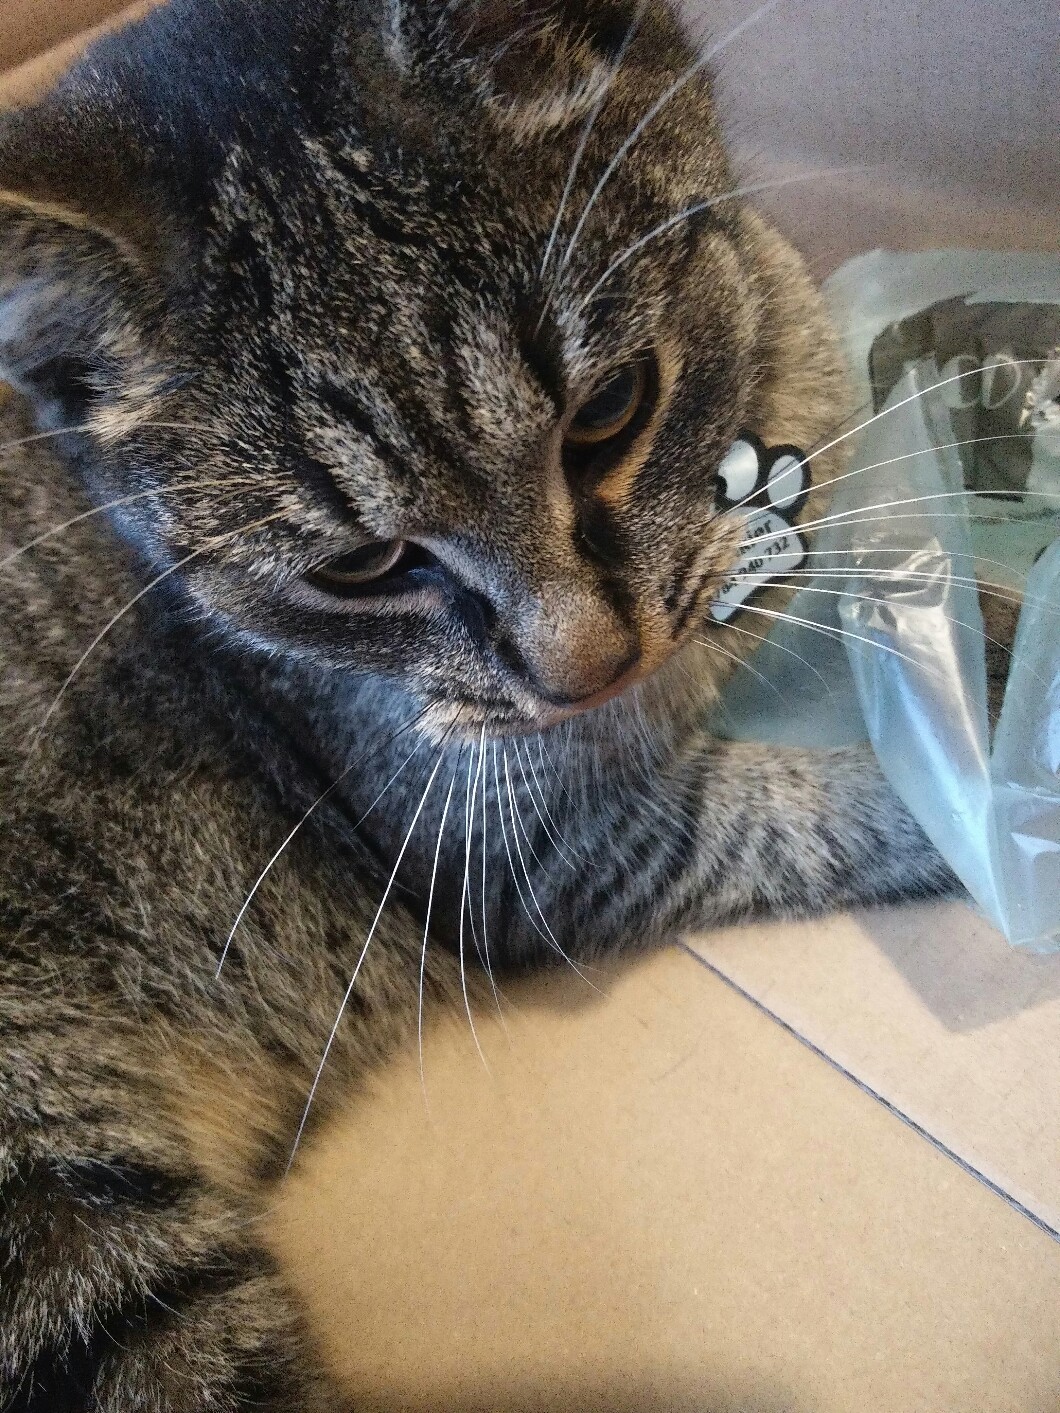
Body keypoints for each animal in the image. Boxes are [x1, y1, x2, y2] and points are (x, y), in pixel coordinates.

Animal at [0, 0, 989, 1407]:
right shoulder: (529, 857)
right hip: (77, 1251)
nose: (588, 668)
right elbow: (795, 809)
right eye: (359, 568)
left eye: (612, 411)